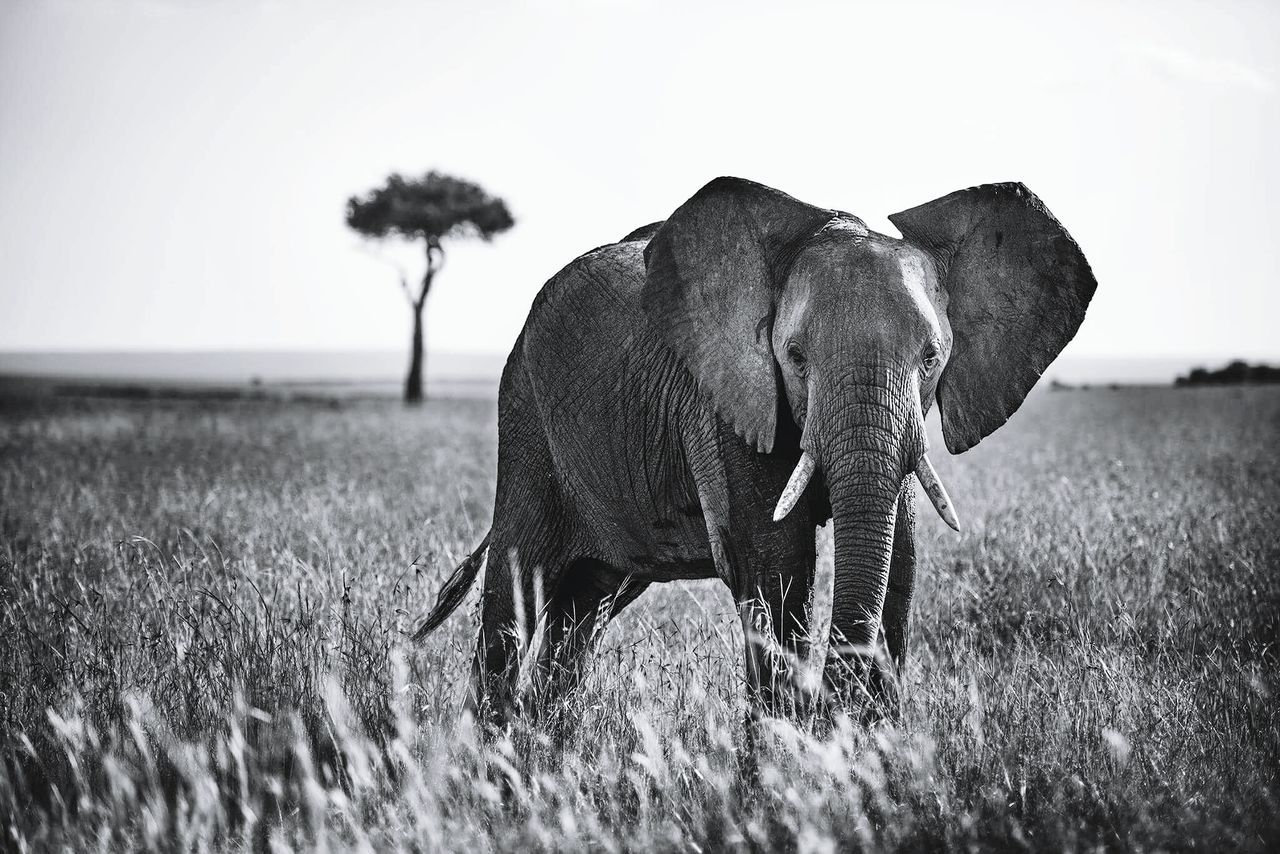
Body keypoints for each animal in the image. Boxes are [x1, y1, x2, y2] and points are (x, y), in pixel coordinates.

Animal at [414, 175, 1095, 727]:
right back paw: (494, 758)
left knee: (585, 608)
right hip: (524, 416)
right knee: (515, 591)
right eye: (793, 356)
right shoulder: (727, 403)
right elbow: (777, 570)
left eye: (932, 357)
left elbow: (899, 563)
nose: (832, 706)